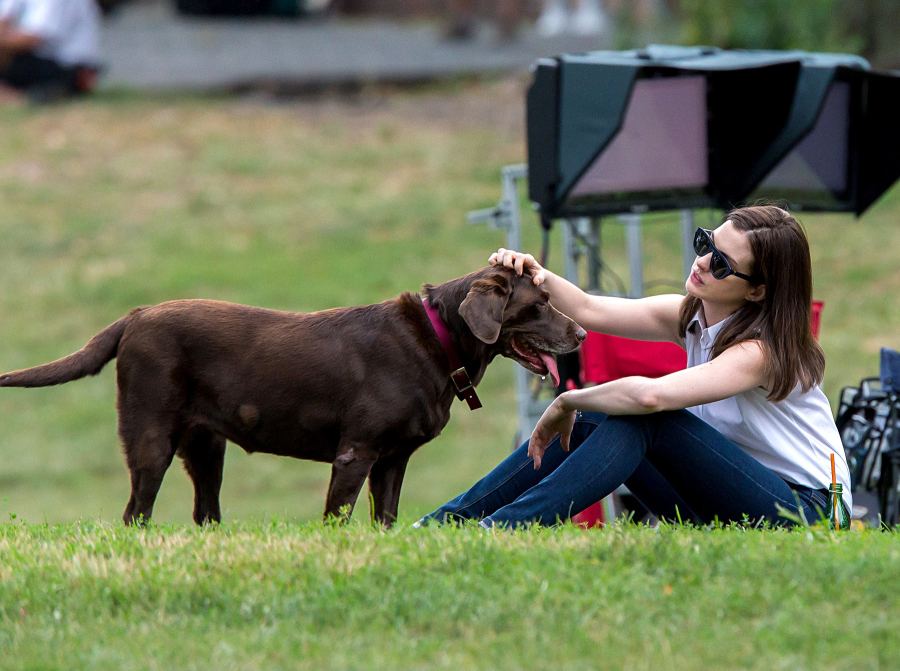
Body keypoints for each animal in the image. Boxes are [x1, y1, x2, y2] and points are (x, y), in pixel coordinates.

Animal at [0, 266, 588, 524]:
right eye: (539, 304)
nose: (582, 334)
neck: (437, 340)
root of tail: (134, 317)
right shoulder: (356, 453)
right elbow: (337, 515)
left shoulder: (392, 460)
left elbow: (386, 516)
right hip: (151, 437)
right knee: (135, 513)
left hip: (206, 448)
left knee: (205, 512)